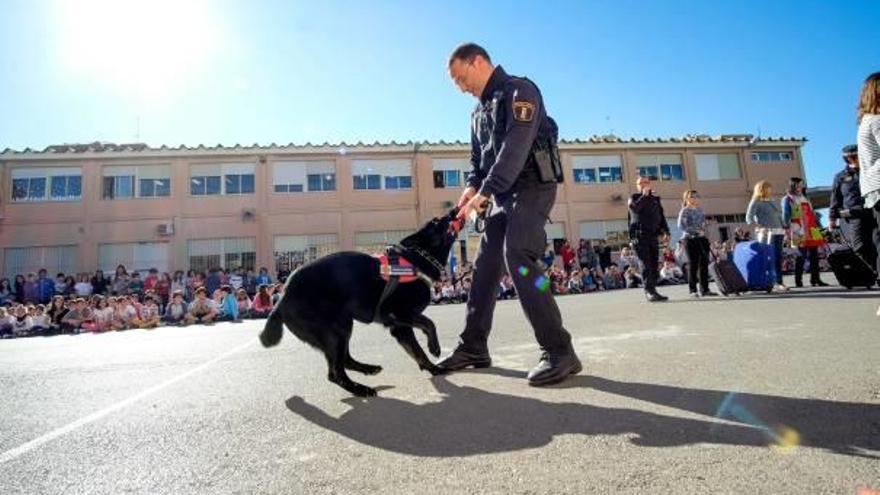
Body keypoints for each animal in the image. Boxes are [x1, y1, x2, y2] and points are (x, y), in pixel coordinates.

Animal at [260, 207, 460, 398]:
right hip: (337, 329)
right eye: (436, 221)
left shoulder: (399, 327)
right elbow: (429, 323)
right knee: (335, 373)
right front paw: (435, 348)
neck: (417, 259)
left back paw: (368, 369)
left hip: (342, 327)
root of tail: (282, 298)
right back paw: (361, 389)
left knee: (345, 361)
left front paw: (433, 368)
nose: (454, 210)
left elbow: (418, 350)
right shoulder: (397, 313)